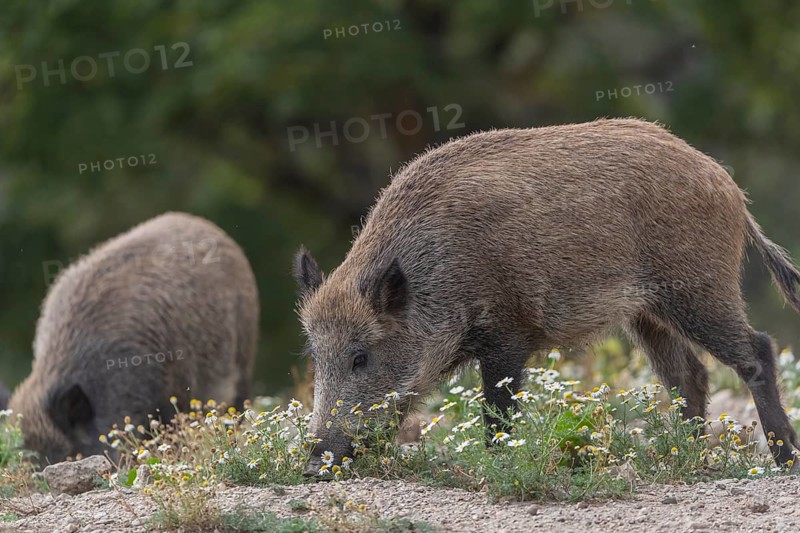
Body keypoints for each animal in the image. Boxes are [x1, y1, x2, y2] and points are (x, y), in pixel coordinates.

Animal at [294, 118, 800, 474]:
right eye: (316, 357)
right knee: (688, 376)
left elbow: (497, 412)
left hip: (699, 287)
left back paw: (784, 461)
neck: (436, 275)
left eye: (360, 357)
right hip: (647, 312)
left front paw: (498, 465)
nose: (316, 461)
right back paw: (683, 457)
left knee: (757, 350)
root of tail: (730, 188)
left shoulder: (507, 333)